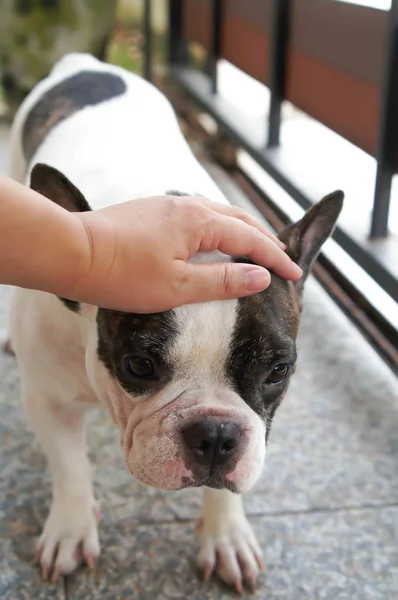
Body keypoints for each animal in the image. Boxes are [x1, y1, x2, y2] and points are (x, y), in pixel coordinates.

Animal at [7, 55, 342, 592]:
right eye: (139, 366)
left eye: (277, 371)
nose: (216, 435)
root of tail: (85, 63)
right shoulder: (48, 401)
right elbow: (70, 466)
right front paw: (72, 530)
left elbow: (235, 476)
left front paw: (226, 535)